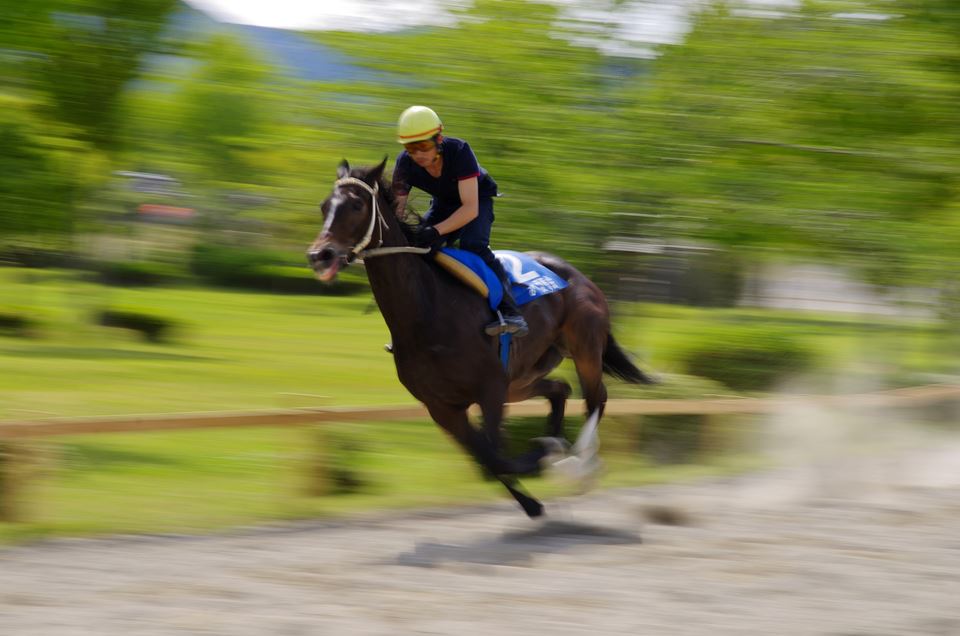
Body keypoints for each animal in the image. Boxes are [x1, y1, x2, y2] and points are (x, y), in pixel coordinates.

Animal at [308, 158, 652, 516]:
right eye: (324, 206)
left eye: (356, 205)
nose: (321, 255)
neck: (427, 311)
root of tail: (581, 278)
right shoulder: (441, 406)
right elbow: (486, 461)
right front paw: (534, 498)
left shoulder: (490, 388)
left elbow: (496, 457)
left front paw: (546, 458)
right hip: (522, 378)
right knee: (560, 389)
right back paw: (560, 445)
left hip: (583, 348)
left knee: (596, 398)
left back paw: (583, 464)